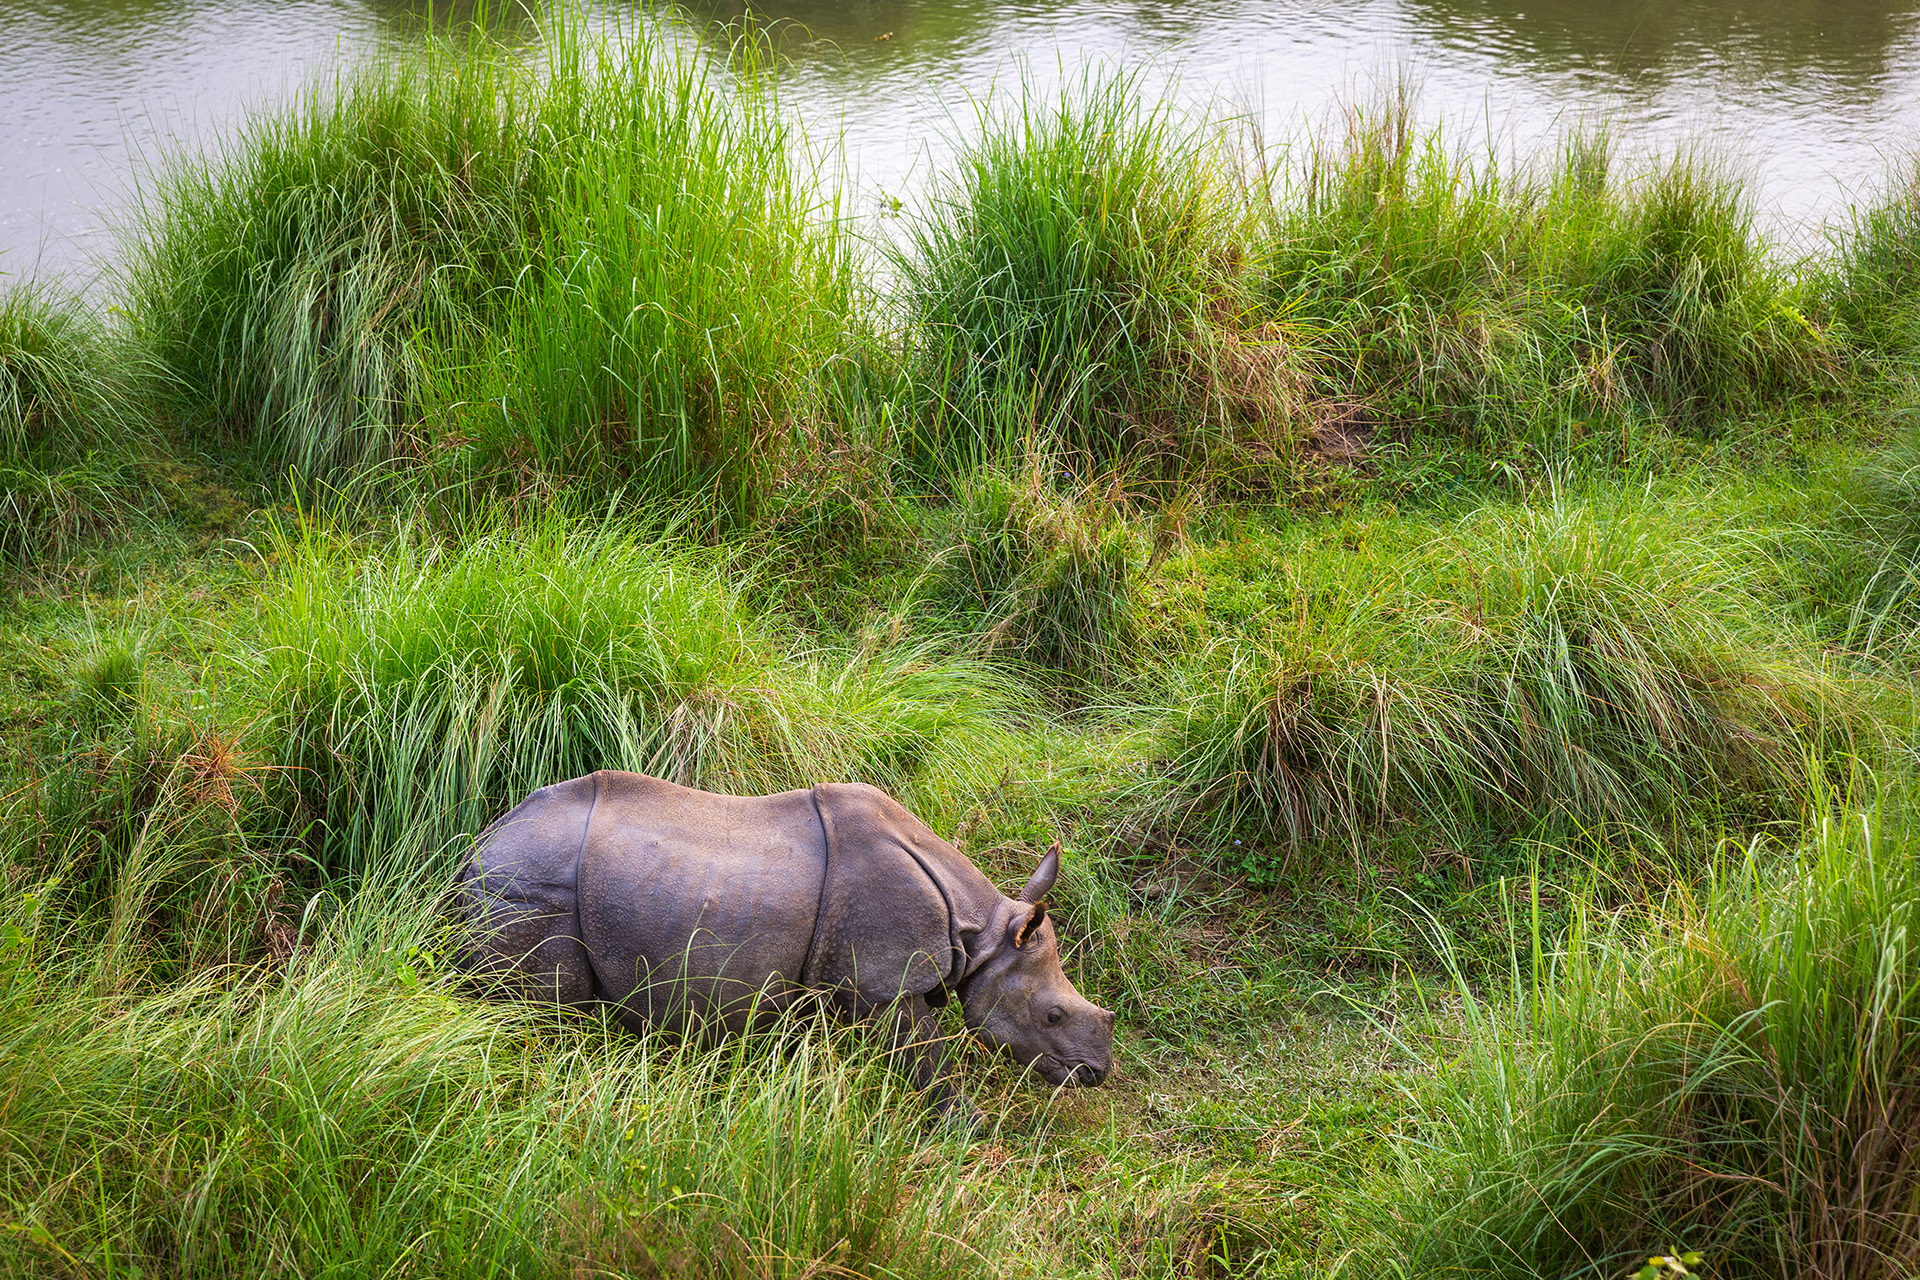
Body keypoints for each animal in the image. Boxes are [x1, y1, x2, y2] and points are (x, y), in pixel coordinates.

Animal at [455, 770, 1115, 1113]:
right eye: (1052, 1016)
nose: (1096, 1073)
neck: (983, 930)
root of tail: (479, 848)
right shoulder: (882, 983)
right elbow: (926, 1062)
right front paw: (969, 1128)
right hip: (529, 887)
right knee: (542, 1013)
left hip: (518, 880)